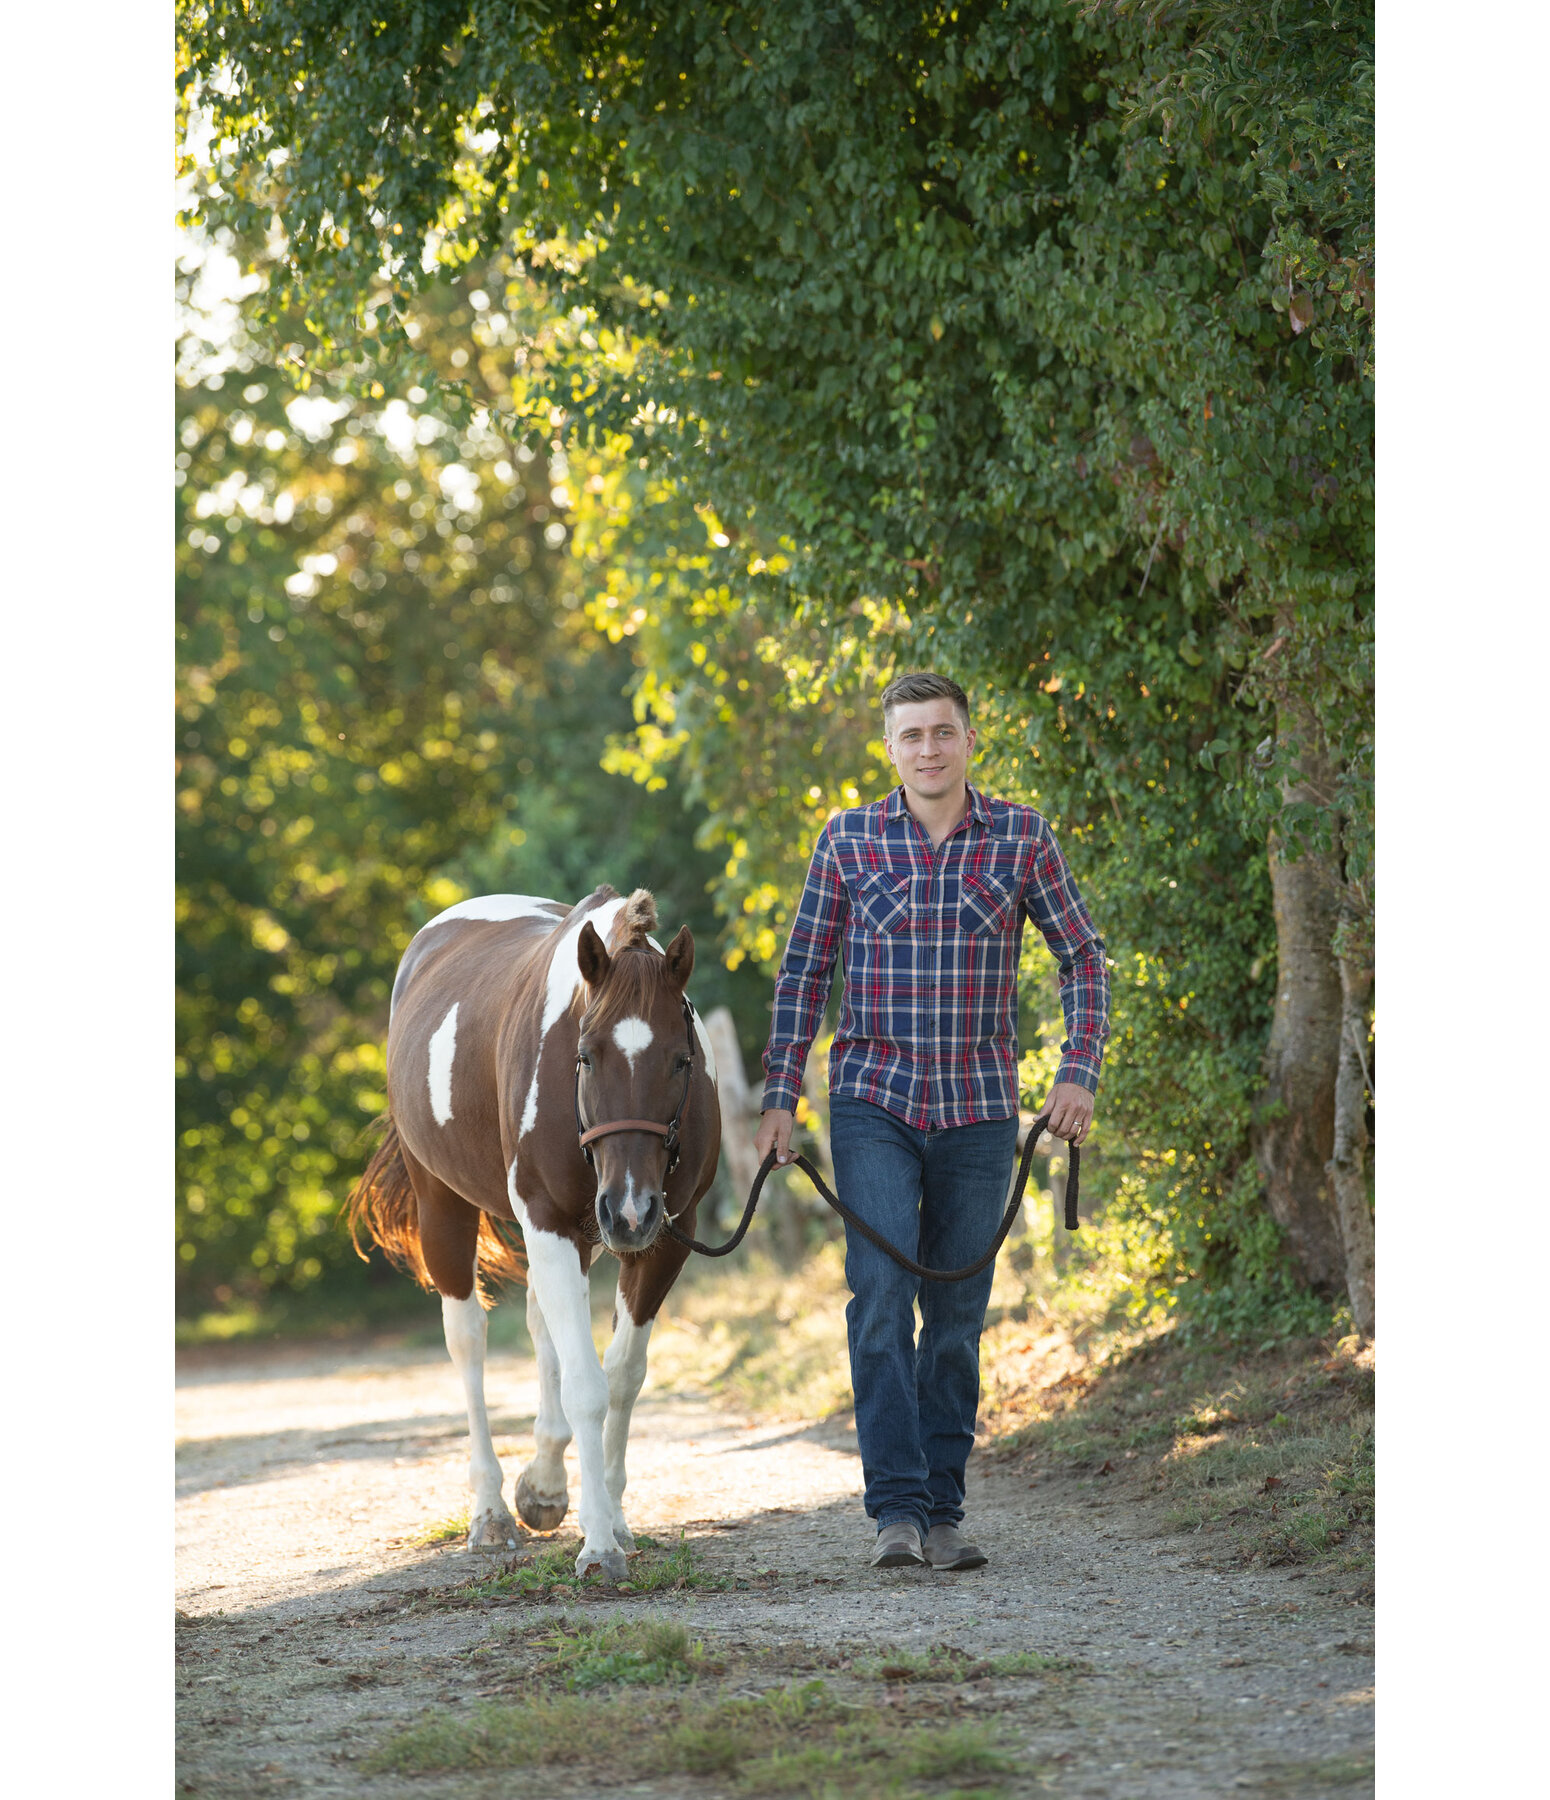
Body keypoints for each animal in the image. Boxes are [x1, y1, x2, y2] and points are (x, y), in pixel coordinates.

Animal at [347, 882, 723, 1576]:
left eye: (682, 1060)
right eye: (586, 1056)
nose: (630, 1209)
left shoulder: (660, 1243)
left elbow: (622, 1377)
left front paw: (611, 1518)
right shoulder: (551, 1223)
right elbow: (586, 1387)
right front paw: (598, 1546)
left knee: (540, 1324)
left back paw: (543, 1486)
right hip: (447, 1206)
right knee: (468, 1339)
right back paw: (491, 1512)